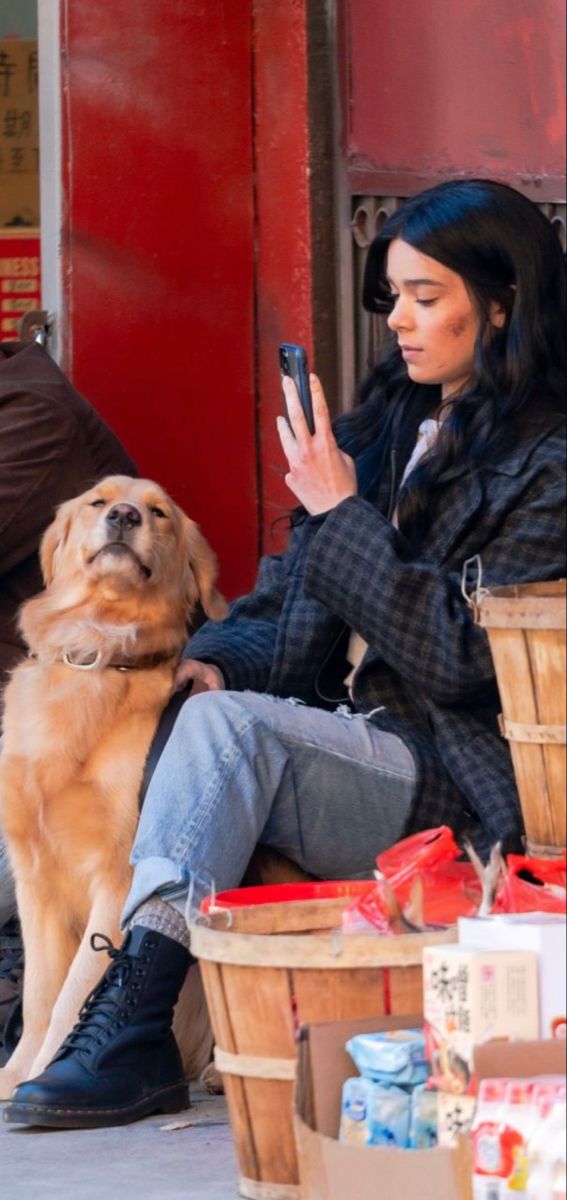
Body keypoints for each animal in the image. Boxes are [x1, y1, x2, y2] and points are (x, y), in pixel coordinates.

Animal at [0, 472, 225, 1099]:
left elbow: (73, 993)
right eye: (97, 501)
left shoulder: (119, 873)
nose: (125, 516)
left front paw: (46, 1074)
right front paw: (15, 1073)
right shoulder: (34, 881)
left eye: (160, 513)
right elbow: (39, 997)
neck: (95, 653)